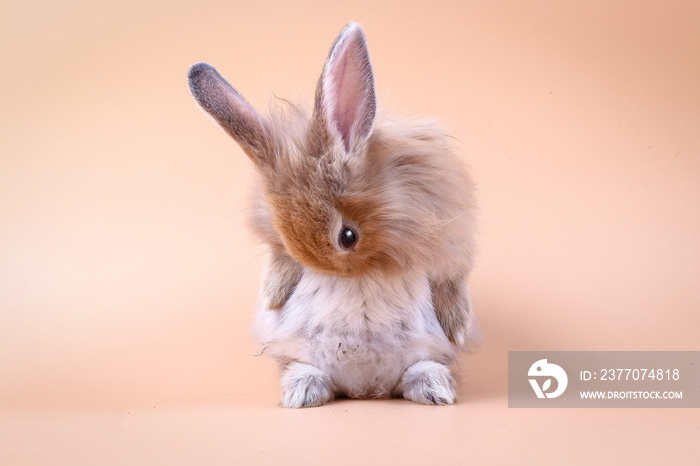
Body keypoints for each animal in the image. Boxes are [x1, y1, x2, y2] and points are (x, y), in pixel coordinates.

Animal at [189, 22, 478, 408]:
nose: (334, 270)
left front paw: (458, 329)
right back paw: (301, 393)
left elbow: (451, 281)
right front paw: (272, 295)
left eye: (348, 237)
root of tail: (365, 388)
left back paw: (436, 390)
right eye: (289, 244)